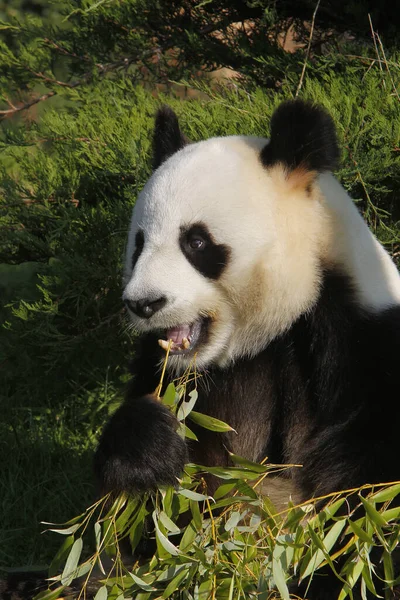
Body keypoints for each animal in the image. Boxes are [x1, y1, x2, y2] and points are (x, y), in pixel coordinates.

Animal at [94, 101, 400, 596]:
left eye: (196, 241)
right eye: (138, 243)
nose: (143, 303)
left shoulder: (365, 345)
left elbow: (366, 505)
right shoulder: (179, 377)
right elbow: (148, 526)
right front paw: (149, 449)